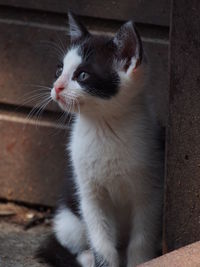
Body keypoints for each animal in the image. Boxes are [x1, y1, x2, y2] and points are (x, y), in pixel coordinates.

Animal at [36, 11, 163, 267]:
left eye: (83, 75)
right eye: (59, 70)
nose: (57, 87)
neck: (103, 128)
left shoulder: (150, 193)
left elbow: (141, 240)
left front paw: (141, 261)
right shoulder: (90, 194)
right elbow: (100, 239)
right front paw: (102, 260)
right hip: (69, 219)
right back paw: (85, 257)